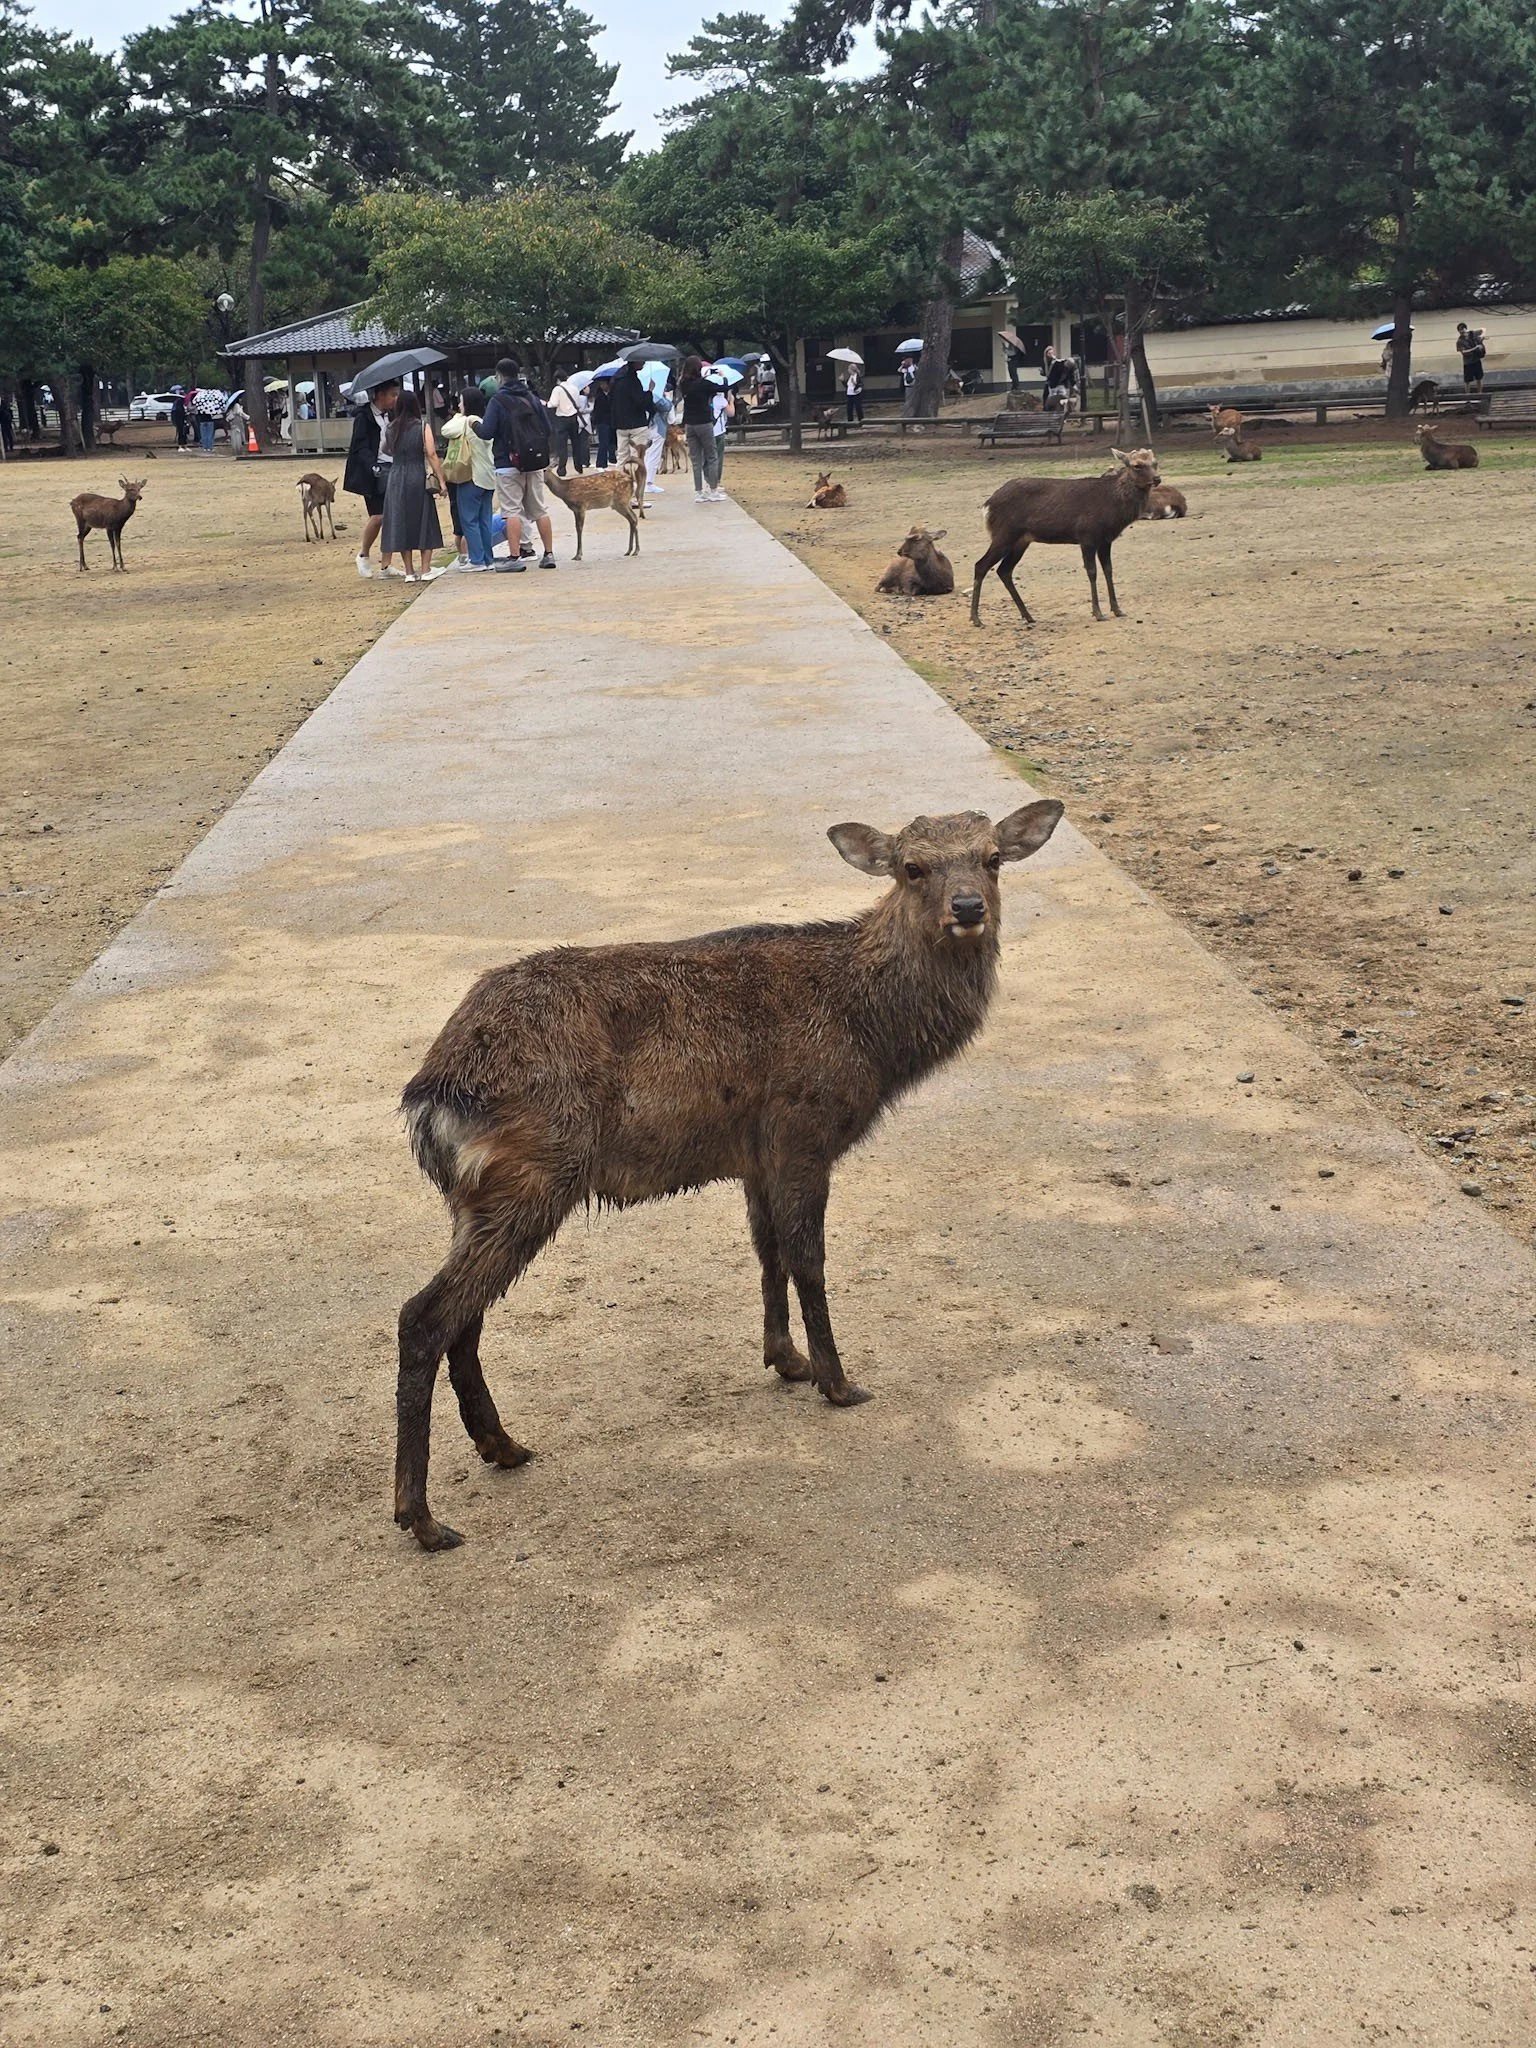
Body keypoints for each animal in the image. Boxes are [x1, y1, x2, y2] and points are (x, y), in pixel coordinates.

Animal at [393, 798, 1065, 1549]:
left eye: (992, 858)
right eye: (912, 868)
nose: (968, 906)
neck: (870, 1039)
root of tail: (432, 1091)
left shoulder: (756, 1153)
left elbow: (767, 1249)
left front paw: (787, 1360)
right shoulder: (803, 1130)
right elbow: (808, 1259)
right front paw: (838, 1382)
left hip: (481, 1195)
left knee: (465, 1317)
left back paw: (503, 1447)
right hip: (535, 1171)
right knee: (424, 1315)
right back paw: (423, 1518)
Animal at [970, 446, 1160, 627]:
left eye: (1155, 463)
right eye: (1137, 466)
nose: (1157, 479)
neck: (1113, 511)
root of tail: (987, 505)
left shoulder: (1106, 540)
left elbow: (1109, 570)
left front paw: (1118, 610)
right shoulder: (1087, 536)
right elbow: (1092, 572)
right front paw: (1098, 613)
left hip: (1021, 541)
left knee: (1004, 570)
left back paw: (1028, 616)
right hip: (1004, 534)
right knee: (981, 565)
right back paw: (976, 619)